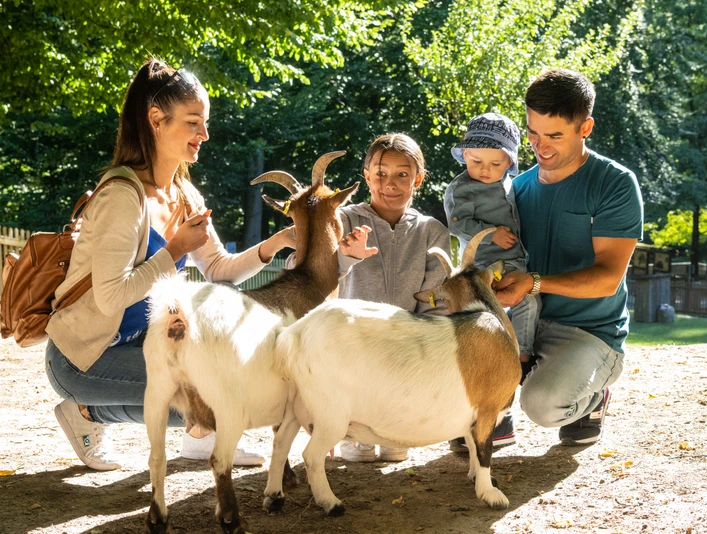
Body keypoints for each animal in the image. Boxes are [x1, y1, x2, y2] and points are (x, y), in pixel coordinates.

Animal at [142, 152, 358, 534]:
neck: (308, 284)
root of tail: (179, 316)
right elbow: (283, 438)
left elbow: (278, 436)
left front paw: (282, 484)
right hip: (228, 405)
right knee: (219, 460)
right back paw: (232, 520)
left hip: (156, 391)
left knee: (157, 457)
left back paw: (158, 519)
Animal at [264, 227, 521, 515]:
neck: (487, 315)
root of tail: (294, 334)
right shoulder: (487, 411)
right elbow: (484, 450)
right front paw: (491, 494)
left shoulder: (472, 416)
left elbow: (472, 446)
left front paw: (475, 477)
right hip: (331, 414)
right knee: (311, 455)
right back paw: (331, 504)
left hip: (295, 402)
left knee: (280, 443)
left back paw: (274, 497)